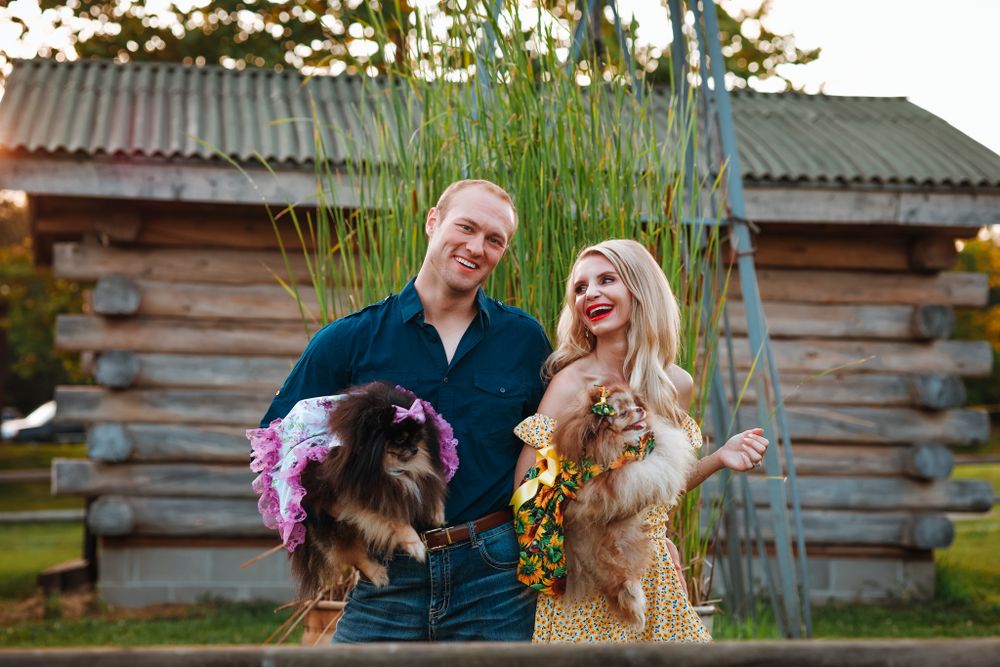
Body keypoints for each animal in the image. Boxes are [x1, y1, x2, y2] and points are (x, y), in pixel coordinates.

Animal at [289, 382, 449, 597]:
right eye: (400, 439)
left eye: (417, 437)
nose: (415, 449)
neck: (385, 467)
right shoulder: (362, 498)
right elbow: (396, 521)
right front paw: (415, 545)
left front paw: (437, 513)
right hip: (331, 527)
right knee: (353, 556)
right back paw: (378, 574)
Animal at [555, 384, 695, 627]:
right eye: (623, 413)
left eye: (634, 404)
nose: (640, 409)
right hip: (600, 553)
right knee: (616, 577)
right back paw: (634, 602)